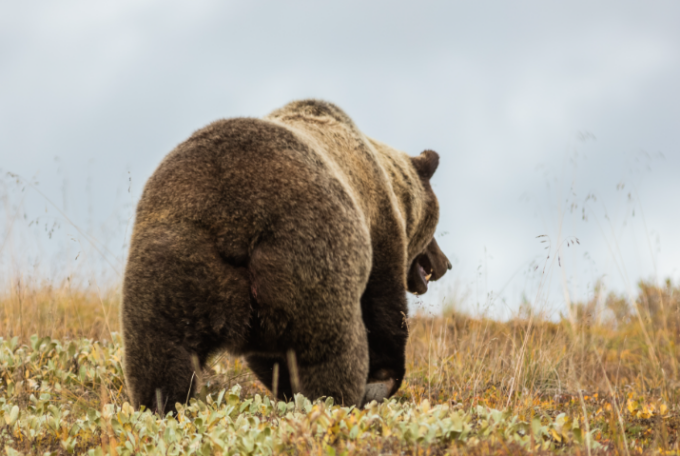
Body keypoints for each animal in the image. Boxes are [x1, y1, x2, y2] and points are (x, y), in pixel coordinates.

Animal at [121, 99, 451, 414]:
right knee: (329, 349)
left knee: (161, 355)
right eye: (432, 231)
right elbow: (385, 308)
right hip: (310, 254)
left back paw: (160, 408)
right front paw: (381, 381)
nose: (444, 263)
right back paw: (333, 402)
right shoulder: (378, 228)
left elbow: (269, 359)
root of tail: (233, 219)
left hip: (173, 260)